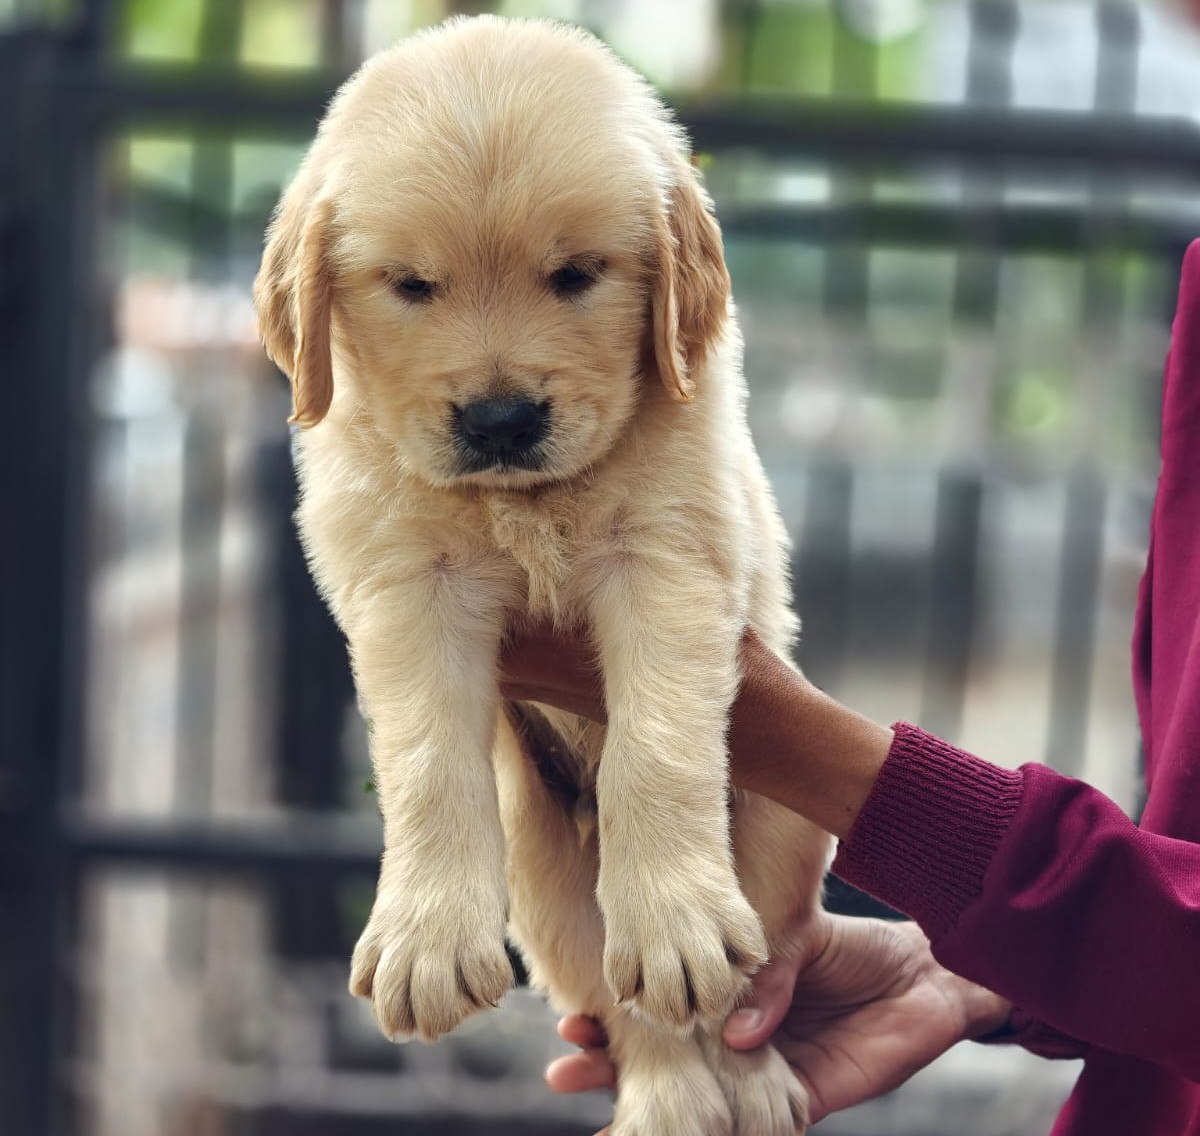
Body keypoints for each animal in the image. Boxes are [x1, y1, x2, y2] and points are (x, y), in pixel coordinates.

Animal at [256, 17, 830, 1136]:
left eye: (575, 275)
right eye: (412, 285)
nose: (500, 419)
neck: (524, 502)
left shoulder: (665, 557)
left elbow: (656, 746)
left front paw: (678, 920)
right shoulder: (411, 584)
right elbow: (427, 759)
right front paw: (427, 941)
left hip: (787, 832)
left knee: (740, 991)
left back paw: (744, 1072)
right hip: (545, 881)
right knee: (626, 1002)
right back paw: (668, 1098)